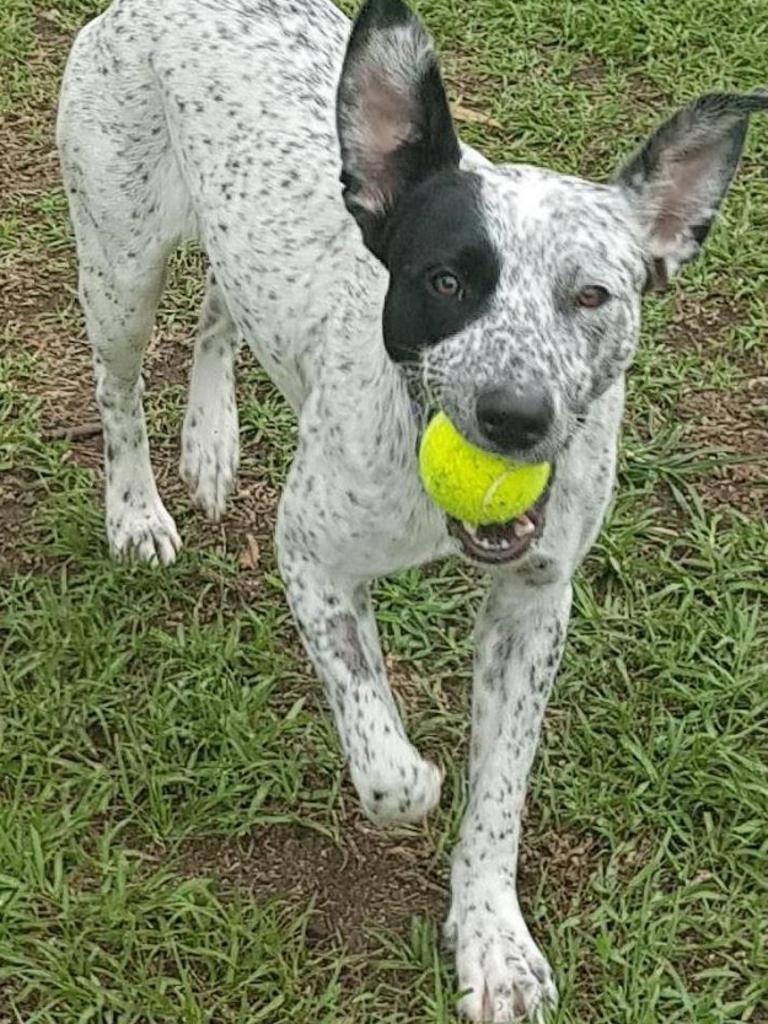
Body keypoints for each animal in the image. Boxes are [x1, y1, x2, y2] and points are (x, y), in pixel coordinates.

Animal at [55, 0, 768, 1015]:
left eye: (592, 294)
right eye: (445, 280)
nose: (515, 418)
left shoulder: (534, 608)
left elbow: (500, 795)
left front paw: (493, 938)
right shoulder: (312, 558)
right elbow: (387, 763)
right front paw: (417, 778)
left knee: (220, 307)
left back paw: (211, 440)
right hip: (119, 271)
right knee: (119, 394)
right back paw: (138, 509)